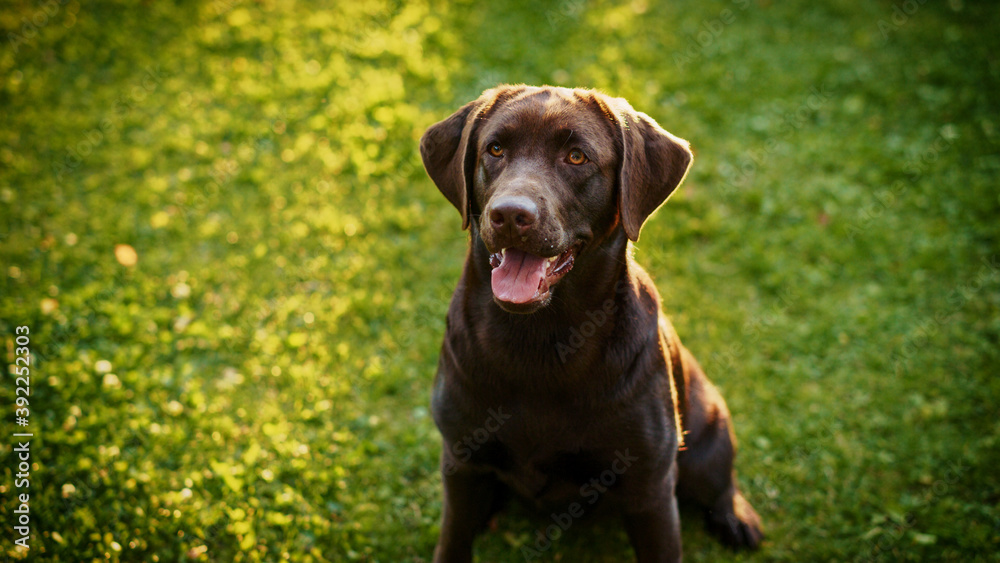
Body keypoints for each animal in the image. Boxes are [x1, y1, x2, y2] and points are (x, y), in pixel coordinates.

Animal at [418, 85, 760, 563]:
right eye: (495, 149)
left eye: (577, 157)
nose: (510, 214)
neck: (541, 339)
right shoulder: (461, 461)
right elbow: (453, 540)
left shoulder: (650, 488)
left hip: (706, 432)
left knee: (720, 481)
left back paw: (737, 518)